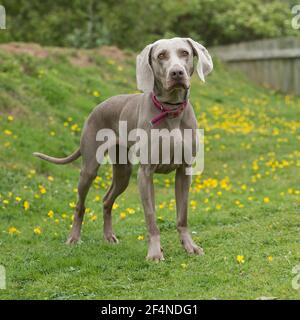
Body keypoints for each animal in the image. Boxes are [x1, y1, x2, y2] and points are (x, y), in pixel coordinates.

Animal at [34, 37, 213, 262]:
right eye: (161, 55)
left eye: (184, 53)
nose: (177, 72)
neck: (170, 110)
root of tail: (96, 107)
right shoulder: (146, 173)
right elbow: (151, 217)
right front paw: (155, 253)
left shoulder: (184, 171)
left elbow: (183, 216)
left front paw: (190, 246)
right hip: (90, 169)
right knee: (80, 205)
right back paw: (73, 238)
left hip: (123, 173)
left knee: (106, 200)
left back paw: (109, 236)